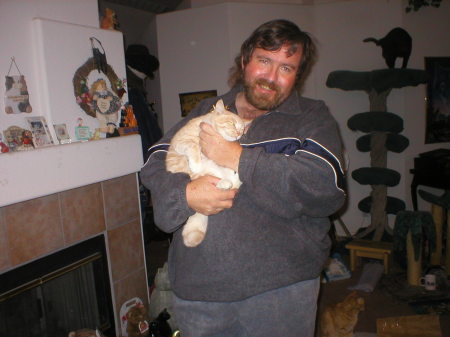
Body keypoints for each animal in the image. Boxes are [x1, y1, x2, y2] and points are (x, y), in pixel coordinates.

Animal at [167, 98, 248, 245]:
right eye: (232, 123)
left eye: (242, 129)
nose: (239, 133)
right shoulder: (181, 142)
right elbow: (193, 146)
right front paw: (196, 163)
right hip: (201, 174)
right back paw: (224, 182)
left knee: (232, 183)